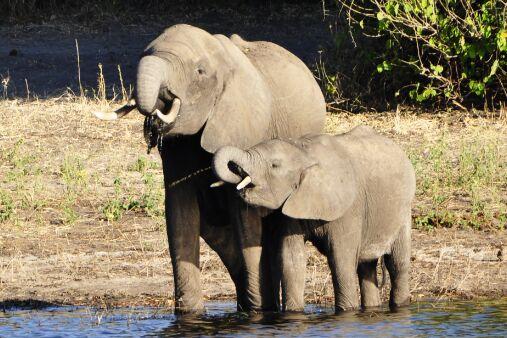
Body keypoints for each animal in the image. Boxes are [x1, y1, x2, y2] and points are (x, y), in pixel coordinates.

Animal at [94, 24, 326, 314]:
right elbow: (179, 213)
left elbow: (245, 218)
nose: (155, 116)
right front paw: (189, 315)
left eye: (200, 72)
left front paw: (257, 313)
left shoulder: (244, 127)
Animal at [214, 126, 416, 312]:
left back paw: (400, 306)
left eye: (274, 165)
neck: (303, 153)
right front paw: (293, 313)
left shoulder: (348, 208)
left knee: (397, 263)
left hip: (403, 210)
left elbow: (341, 260)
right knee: (366, 266)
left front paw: (347, 311)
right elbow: (291, 259)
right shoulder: (292, 203)